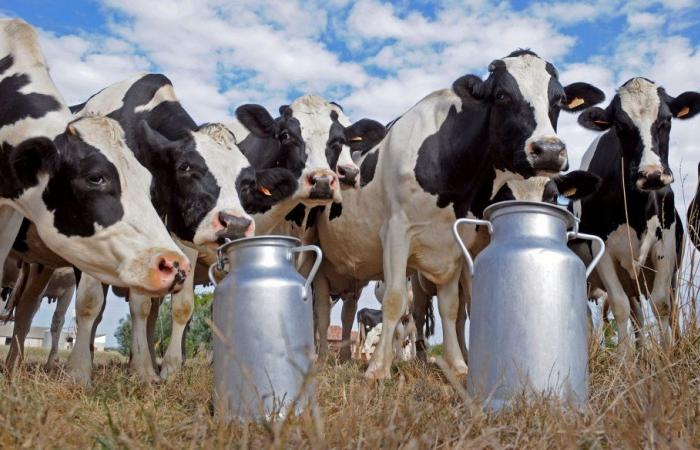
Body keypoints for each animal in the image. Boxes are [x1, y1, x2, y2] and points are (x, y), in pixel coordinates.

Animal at [312, 49, 600, 378]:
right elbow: (395, 299)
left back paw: (345, 357)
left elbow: (452, 307)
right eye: (501, 95)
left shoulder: (454, 243)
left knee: (347, 312)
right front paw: (378, 368)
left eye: (559, 99)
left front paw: (459, 364)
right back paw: (323, 359)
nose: (549, 150)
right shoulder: (396, 232)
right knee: (322, 311)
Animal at [572, 77, 696, 348]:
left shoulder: (666, 244)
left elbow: (661, 304)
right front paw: (625, 357)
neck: (636, 210)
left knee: (668, 308)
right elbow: (619, 306)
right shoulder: (602, 249)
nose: (651, 175)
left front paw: (666, 354)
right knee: (633, 314)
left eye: (667, 119)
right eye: (620, 125)